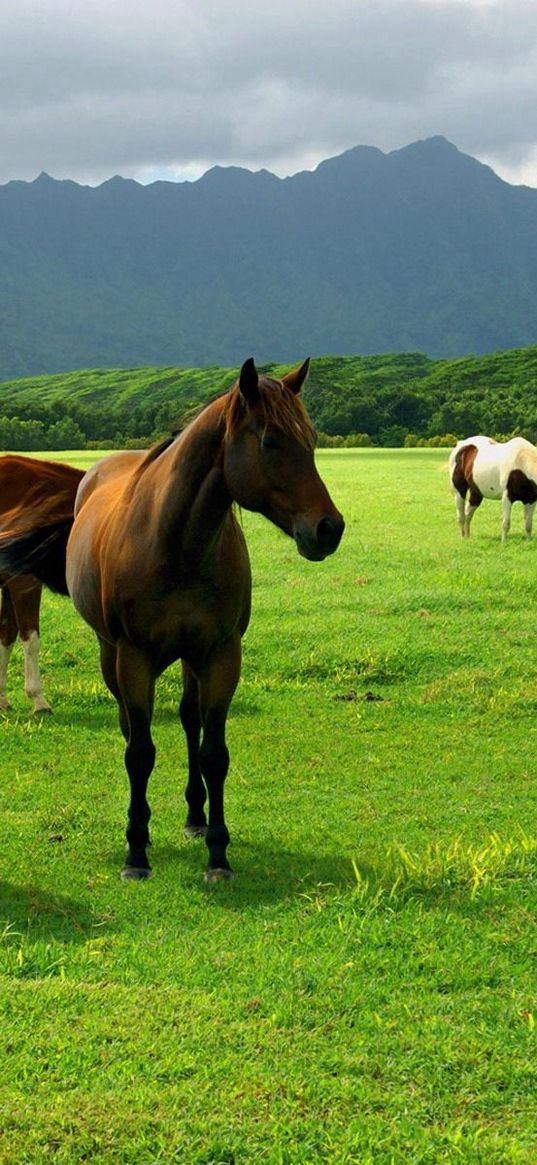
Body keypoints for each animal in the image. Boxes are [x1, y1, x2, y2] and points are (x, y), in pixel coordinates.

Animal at [0, 452, 84, 708]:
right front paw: (38, 699)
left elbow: (7, 636)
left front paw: (2, 698)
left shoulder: (10, 587)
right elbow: (30, 638)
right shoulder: (24, 585)